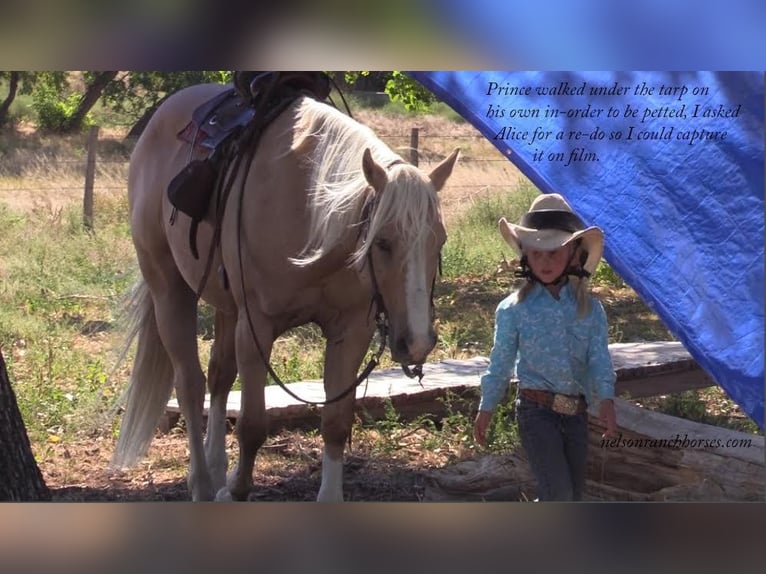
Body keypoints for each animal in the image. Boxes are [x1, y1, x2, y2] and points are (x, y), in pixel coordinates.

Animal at [110, 83, 460, 502]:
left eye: (439, 241)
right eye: (383, 242)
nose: (418, 342)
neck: (311, 217)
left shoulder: (350, 331)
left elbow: (336, 422)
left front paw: (328, 497)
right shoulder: (256, 329)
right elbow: (251, 425)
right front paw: (236, 490)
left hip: (227, 307)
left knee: (218, 376)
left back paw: (215, 467)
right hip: (168, 289)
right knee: (190, 384)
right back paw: (203, 483)